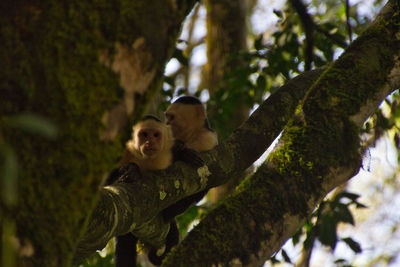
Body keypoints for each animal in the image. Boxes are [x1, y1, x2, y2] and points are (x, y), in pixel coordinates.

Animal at [104, 115, 203, 267]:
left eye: (155, 135)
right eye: (144, 134)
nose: (149, 142)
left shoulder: (169, 152)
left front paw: (184, 152)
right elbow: (105, 186)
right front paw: (132, 170)